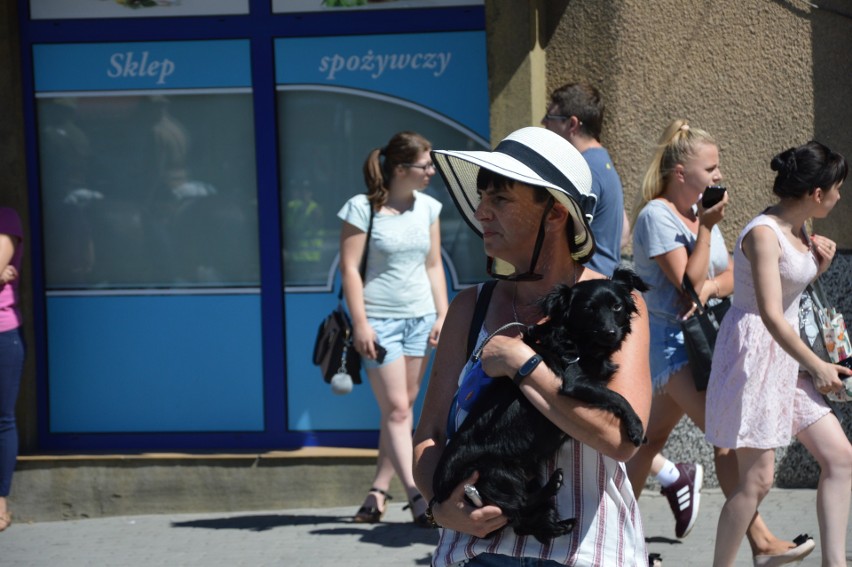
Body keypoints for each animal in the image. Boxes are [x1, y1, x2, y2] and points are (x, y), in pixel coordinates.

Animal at [432, 268, 644, 544]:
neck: (577, 341)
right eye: (589, 309)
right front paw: (636, 426)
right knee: (517, 506)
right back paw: (553, 487)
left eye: (617, 306)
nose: (610, 332)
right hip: (495, 472)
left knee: (521, 522)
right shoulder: (575, 382)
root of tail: (440, 490)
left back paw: (558, 524)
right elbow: (617, 397)